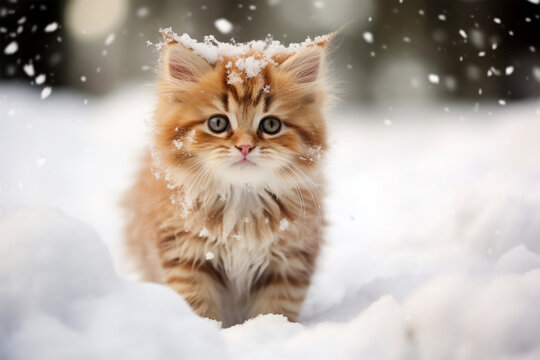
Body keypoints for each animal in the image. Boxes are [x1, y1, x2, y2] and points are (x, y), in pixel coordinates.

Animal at [124, 29, 332, 328]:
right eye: (218, 123)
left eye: (271, 125)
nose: (245, 147)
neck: (241, 200)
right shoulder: (187, 256)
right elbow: (199, 309)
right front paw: (212, 333)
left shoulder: (288, 263)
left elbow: (274, 311)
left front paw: (268, 330)